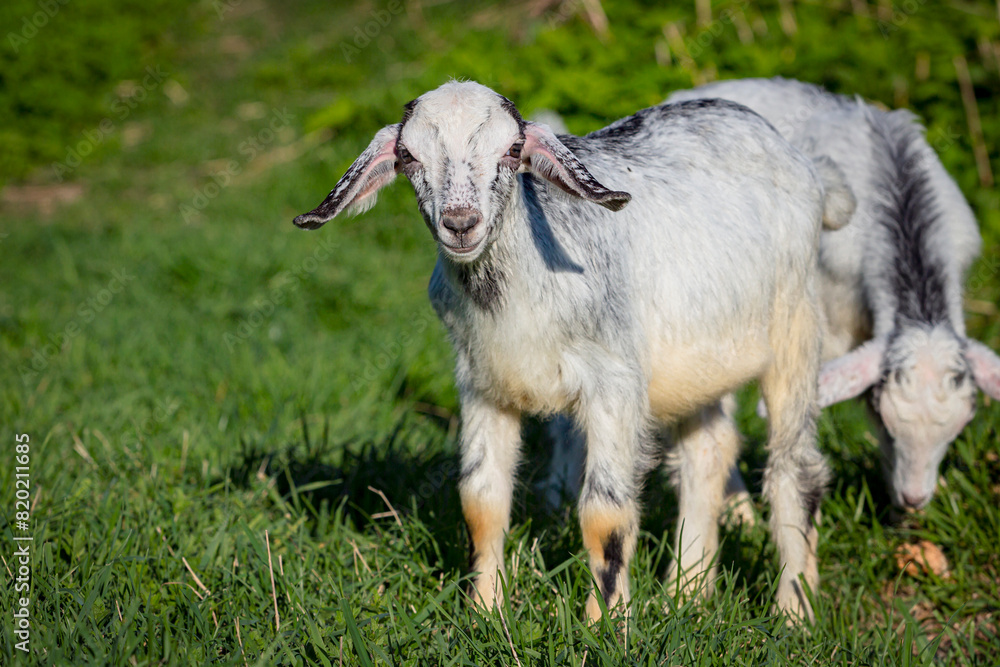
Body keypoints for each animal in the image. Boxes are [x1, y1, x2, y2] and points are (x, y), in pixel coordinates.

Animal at [293, 80, 845, 622]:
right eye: (408, 155)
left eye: (512, 150)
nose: (461, 222)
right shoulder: (481, 382)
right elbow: (480, 499)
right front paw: (486, 613)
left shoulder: (614, 384)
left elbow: (605, 512)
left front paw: (606, 624)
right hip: (701, 358)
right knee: (707, 453)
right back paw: (687, 593)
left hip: (795, 322)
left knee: (796, 469)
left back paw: (795, 612)